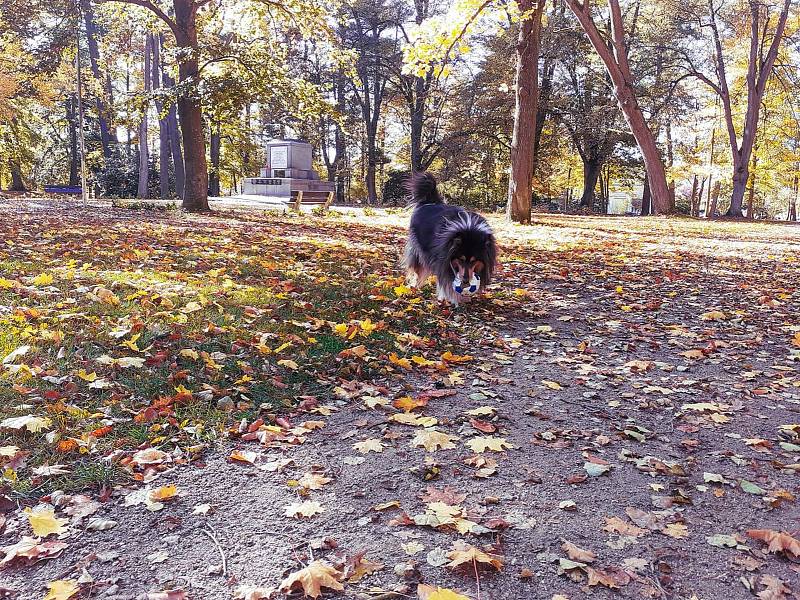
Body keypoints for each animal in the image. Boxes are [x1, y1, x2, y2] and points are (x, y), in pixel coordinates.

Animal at [404, 172, 496, 304]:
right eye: (461, 259)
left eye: (474, 260)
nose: (465, 281)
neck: (468, 229)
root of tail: (430, 202)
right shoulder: (442, 259)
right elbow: (445, 279)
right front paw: (447, 297)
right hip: (420, 251)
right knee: (418, 269)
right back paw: (413, 286)